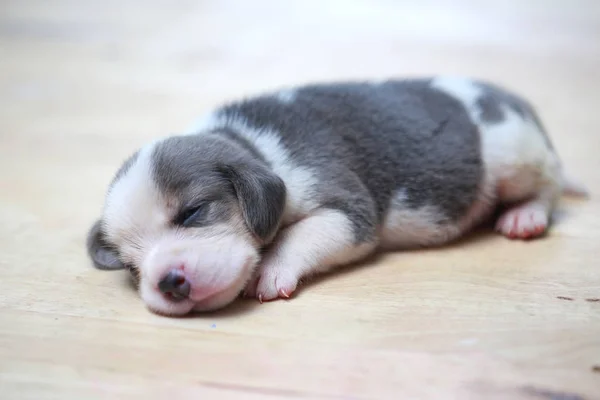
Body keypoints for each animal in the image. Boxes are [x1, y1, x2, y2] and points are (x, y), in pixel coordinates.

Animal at [86, 76, 588, 318]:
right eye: (131, 266)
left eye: (192, 212)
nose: (168, 282)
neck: (248, 145)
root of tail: (518, 104)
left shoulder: (345, 204)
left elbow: (306, 234)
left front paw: (269, 272)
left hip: (514, 156)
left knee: (549, 184)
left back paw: (524, 216)